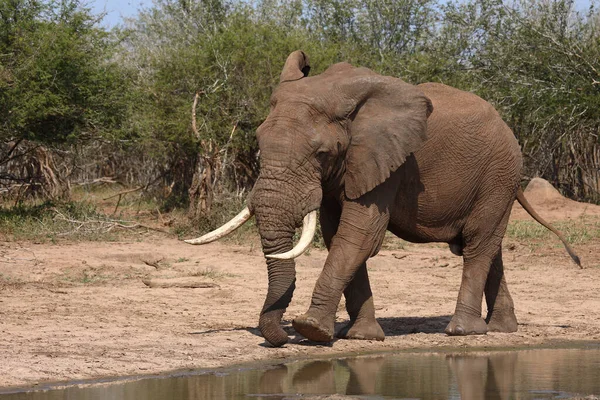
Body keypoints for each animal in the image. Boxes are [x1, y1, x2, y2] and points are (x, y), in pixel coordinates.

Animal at [186, 50, 576, 346]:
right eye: (259, 141)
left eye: (321, 153)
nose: (279, 338)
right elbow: (336, 234)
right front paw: (361, 337)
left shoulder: (389, 161)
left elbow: (359, 235)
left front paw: (311, 330)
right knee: (488, 247)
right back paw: (501, 330)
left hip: (498, 174)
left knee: (478, 244)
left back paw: (461, 331)